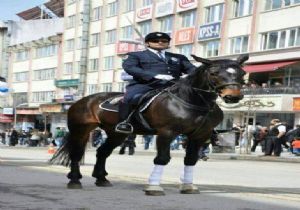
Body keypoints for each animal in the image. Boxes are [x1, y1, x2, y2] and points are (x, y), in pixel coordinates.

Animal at [51, 53, 248, 195]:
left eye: (242, 73)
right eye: (214, 73)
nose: (233, 96)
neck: (192, 101)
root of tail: (81, 100)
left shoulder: (200, 135)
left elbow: (191, 160)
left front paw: (188, 186)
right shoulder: (167, 133)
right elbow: (162, 158)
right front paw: (154, 187)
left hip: (116, 134)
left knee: (102, 152)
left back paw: (101, 179)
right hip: (81, 131)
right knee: (76, 154)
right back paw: (75, 180)